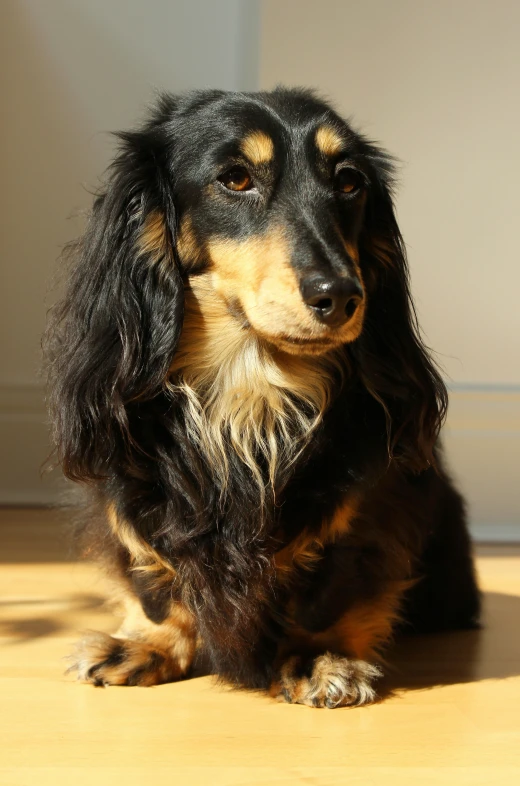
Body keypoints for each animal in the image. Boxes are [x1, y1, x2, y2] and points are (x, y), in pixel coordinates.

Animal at [44, 89, 480, 708]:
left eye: (349, 182)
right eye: (235, 179)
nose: (341, 296)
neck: (250, 389)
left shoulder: (367, 506)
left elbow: (335, 587)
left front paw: (320, 656)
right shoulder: (130, 488)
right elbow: (150, 576)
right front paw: (149, 642)